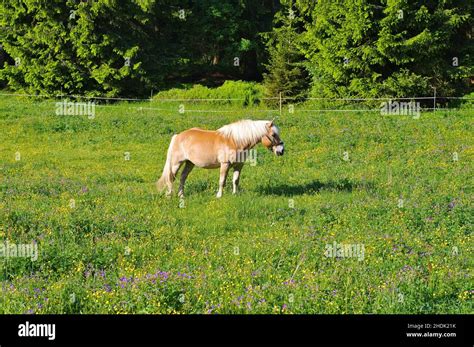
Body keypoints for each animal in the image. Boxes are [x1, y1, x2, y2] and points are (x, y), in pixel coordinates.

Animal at [156, 119, 284, 198]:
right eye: (273, 135)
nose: (281, 150)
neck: (234, 141)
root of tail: (178, 136)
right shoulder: (225, 164)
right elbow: (222, 181)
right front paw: (219, 195)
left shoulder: (239, 165)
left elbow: (235, 180)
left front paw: (235, 194)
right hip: (176, 163)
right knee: (171, 177)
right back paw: (169, 195)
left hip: (189, 163)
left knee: (183, 177)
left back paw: (181, 195)